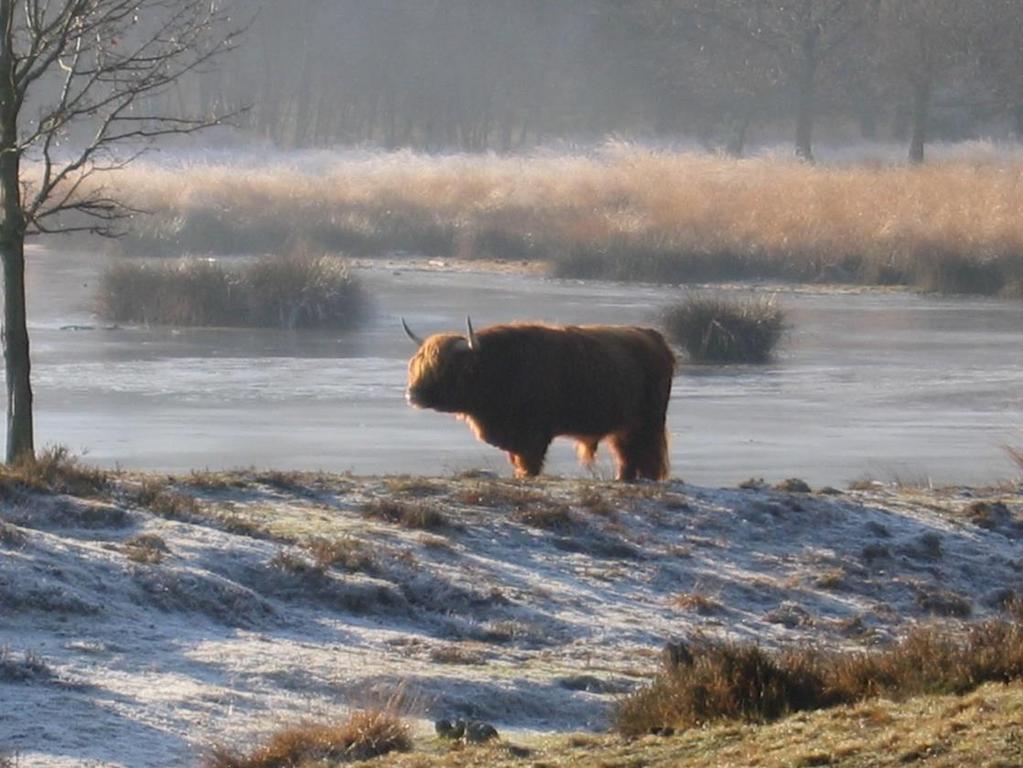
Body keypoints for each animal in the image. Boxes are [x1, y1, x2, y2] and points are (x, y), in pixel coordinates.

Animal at [403, 314, 675, 478]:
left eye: (445, 366)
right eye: (416, 365)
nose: (412, 394)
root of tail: (654, 336)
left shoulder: (534, 433)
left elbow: (529, 463)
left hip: (649, 423)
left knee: (648, 456)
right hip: (624, 428)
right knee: (627, 456)